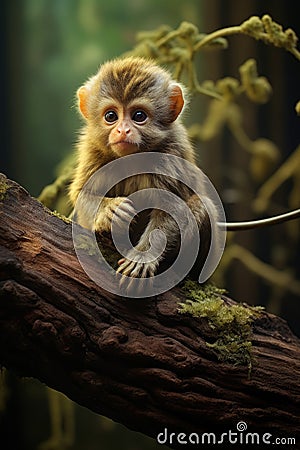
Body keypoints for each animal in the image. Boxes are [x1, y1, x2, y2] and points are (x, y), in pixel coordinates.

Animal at [69, 56, 217, 282]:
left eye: (139, 115)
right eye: (111, 116)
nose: (123, 130)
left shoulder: (172, 154)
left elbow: (172, 206)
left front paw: (143, 256)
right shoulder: (92, 150)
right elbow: (80, 194)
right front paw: (109, 210)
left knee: (203, 205)